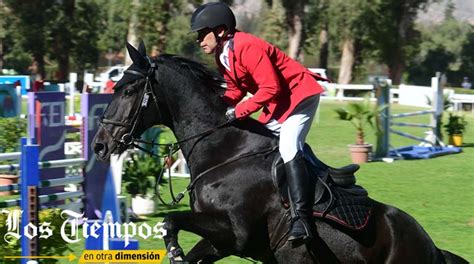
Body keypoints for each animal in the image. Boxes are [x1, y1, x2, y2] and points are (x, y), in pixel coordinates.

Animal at [92, 42, 466, 262]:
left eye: (128, 90)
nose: (99, 144)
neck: (225, 153)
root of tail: (432, 247)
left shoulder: (235, 233)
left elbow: (170, 220)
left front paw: (174, 250)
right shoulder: (220, 243)